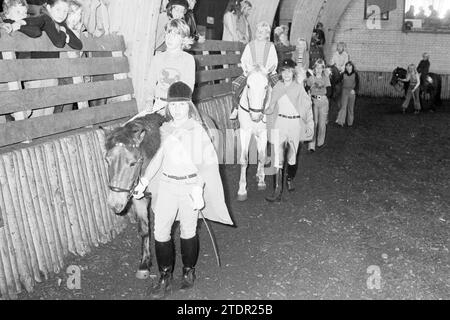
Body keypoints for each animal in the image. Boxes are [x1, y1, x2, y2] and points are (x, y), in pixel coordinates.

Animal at [237, 65, 272, 201]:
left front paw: (262, 182)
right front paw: (242, 190)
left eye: (266, 86)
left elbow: (262, 156)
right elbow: (244, 159)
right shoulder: (245, 132)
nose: (256, 115)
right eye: (248, 86)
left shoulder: (264, 132)